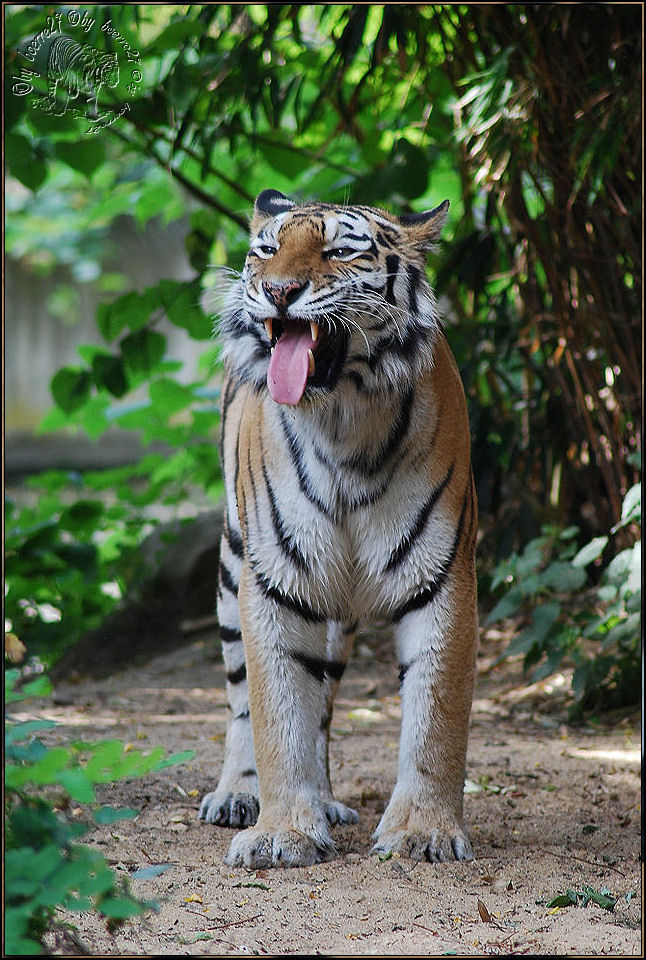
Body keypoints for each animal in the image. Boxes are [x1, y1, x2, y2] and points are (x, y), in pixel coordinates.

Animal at [199, 188, 480, 872]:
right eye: (267, 249)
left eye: (339, 251)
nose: (278, 290)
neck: (343, 422)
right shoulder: (273, 582)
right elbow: (276, 713)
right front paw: (281, 831)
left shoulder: (442, 578)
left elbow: (435, 718)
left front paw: (424, 830)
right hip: (231, 572)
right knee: (243, 700)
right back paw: (238, 795)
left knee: (323, 703)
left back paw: (324, 802)